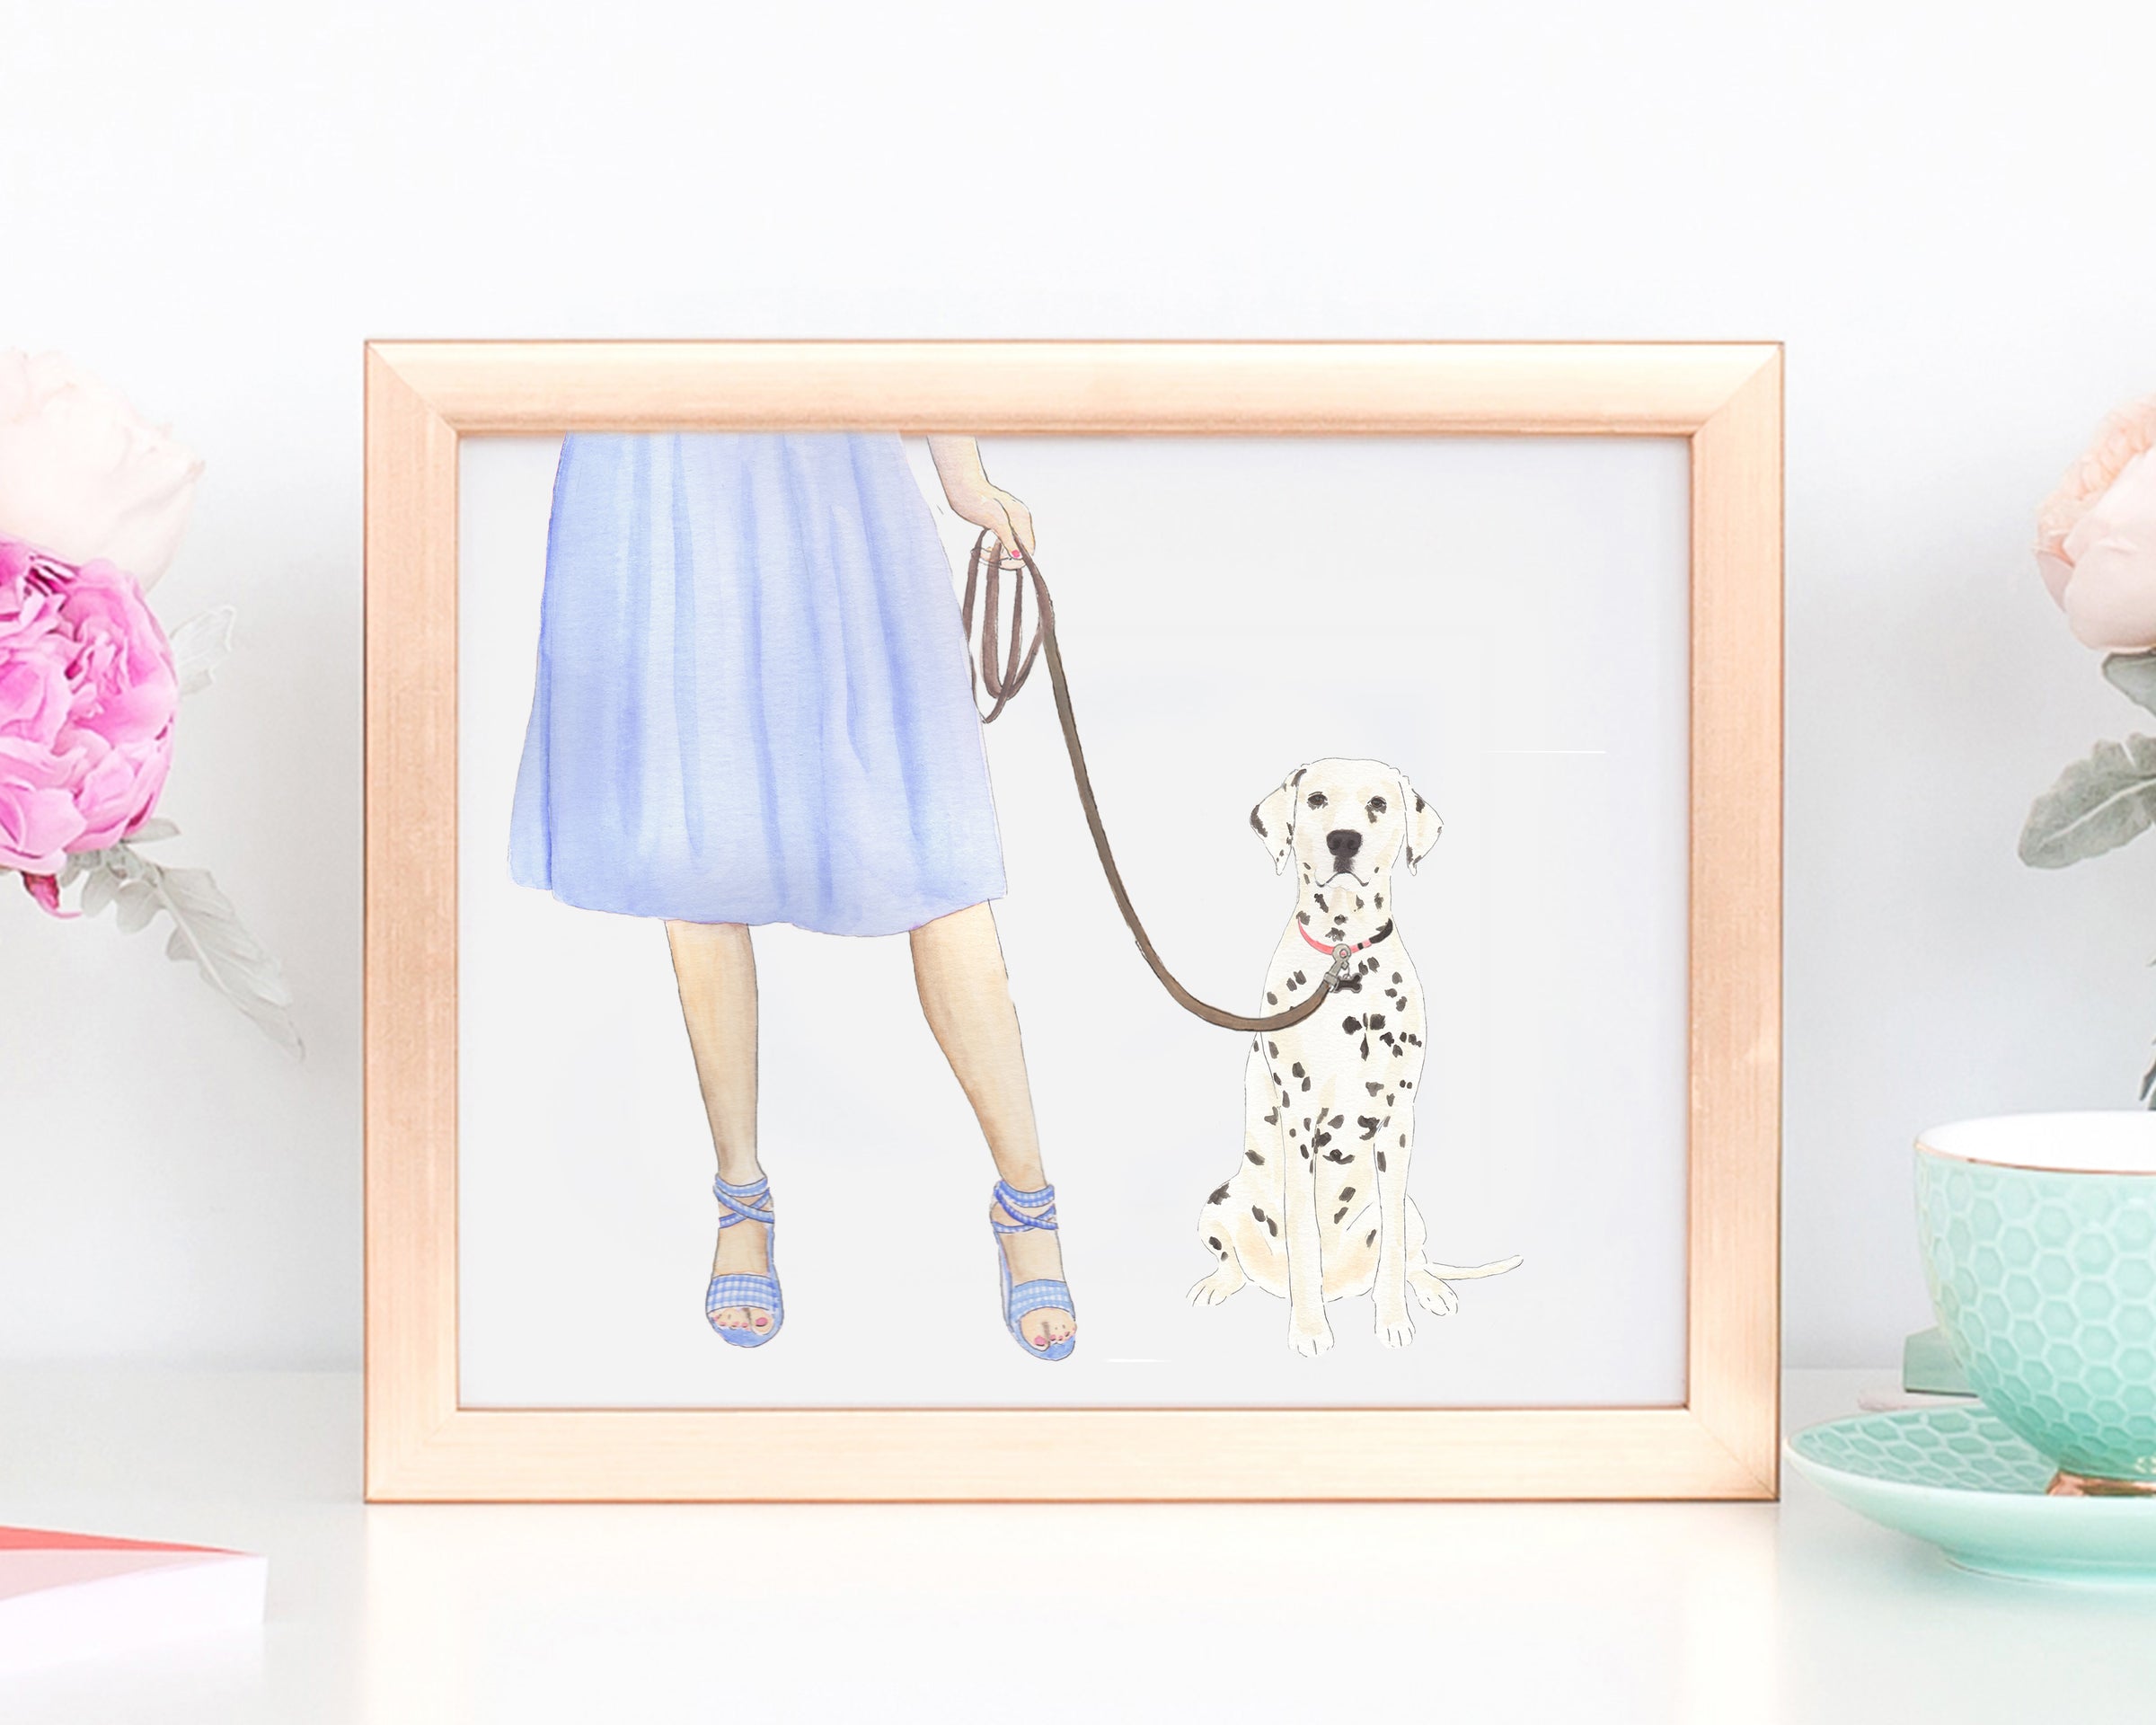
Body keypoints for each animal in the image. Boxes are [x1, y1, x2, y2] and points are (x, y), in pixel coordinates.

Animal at [1188, 758, 1521, 1356]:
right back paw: (1223, 1284)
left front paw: (1392, 1322)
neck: (1344, 961)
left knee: (1412, 1257)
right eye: (1317, 799)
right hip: (1221, 1202)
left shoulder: (1397, 1125)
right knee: (1236, 1260)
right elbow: (1302, 1234)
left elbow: (1392, 1253)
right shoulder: (1298, 1125)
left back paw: (1431, 1289)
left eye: (1379, 804)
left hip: (1412, 1211)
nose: (1344, 840)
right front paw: (1309, 1329)